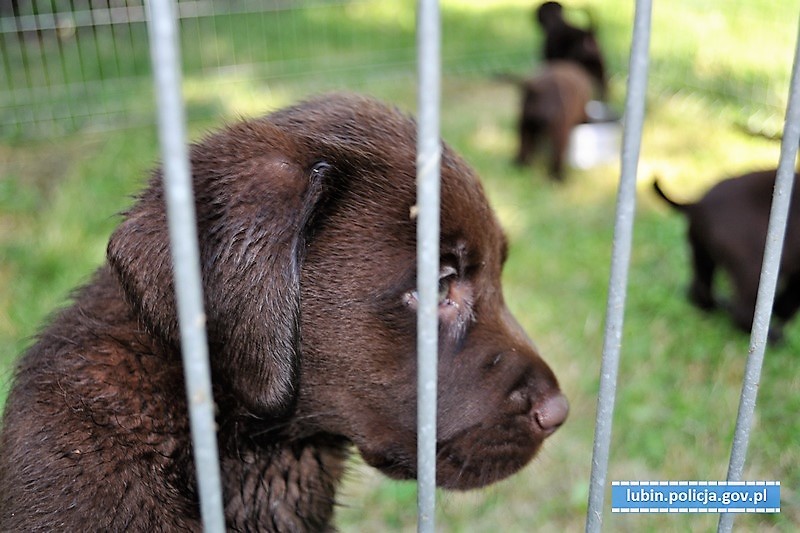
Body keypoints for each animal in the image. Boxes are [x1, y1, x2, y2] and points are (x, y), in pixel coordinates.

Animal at [652, 168, 800, 338]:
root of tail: (699, 204)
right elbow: (791, 298)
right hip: (752, 267)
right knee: (742, 312)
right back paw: (774, 336)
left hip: (702, 254)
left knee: (699, 289)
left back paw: (715, 307)